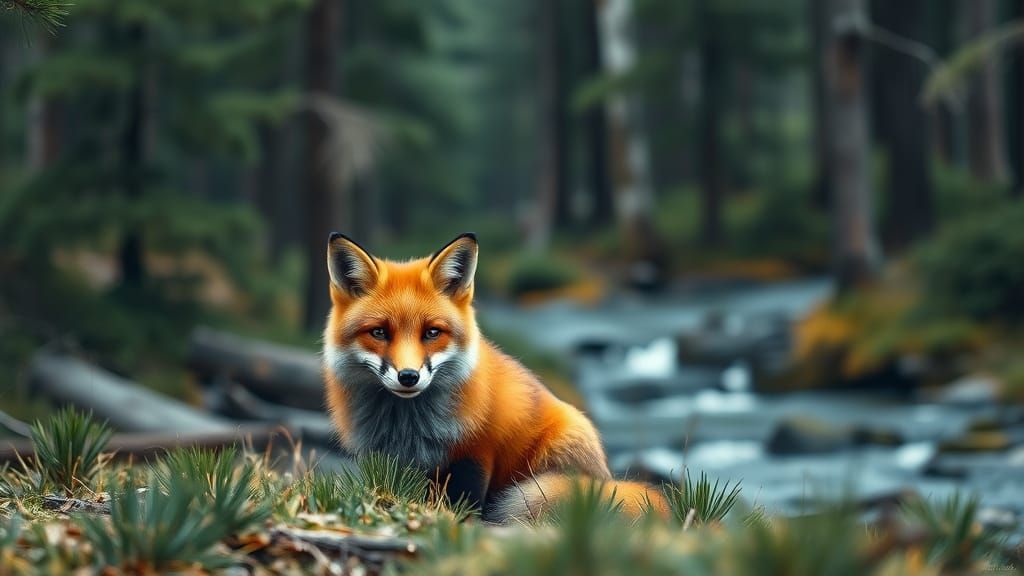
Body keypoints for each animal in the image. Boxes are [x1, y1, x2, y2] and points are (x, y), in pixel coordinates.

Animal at [321, 232, 669, 522]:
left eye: (432, 332)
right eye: (379, 333)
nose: (408, 377)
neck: (409, 427)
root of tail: (608, 478)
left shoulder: (475, 451)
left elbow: (465, 503)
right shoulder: (384, 460)